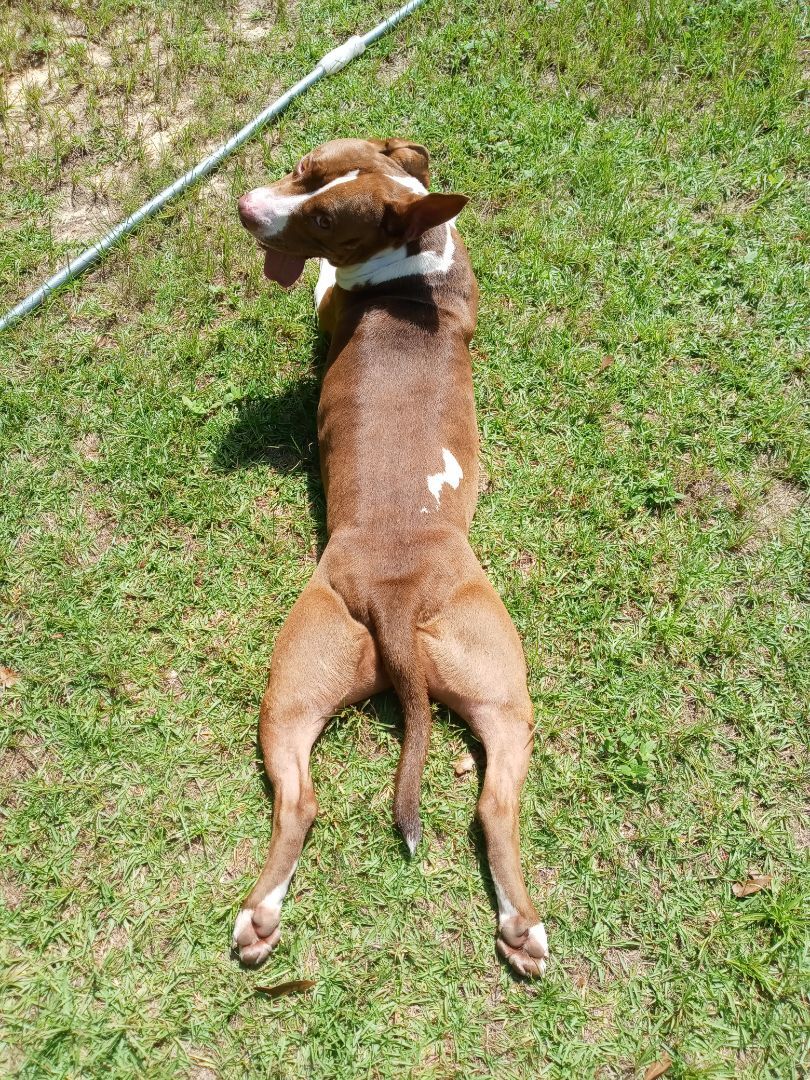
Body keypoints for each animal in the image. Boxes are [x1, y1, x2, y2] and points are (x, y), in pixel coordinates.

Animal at [234, 139, 552, 976]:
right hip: (478, 691)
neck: (415, 261)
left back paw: (258, 916)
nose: (247, 208)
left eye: (322, 219)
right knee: (490, 803)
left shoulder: (330, 296)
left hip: (302, 669)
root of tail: (397, 596)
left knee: (300, 801)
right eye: (304, 166)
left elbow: (319, 288)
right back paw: (520, 926)